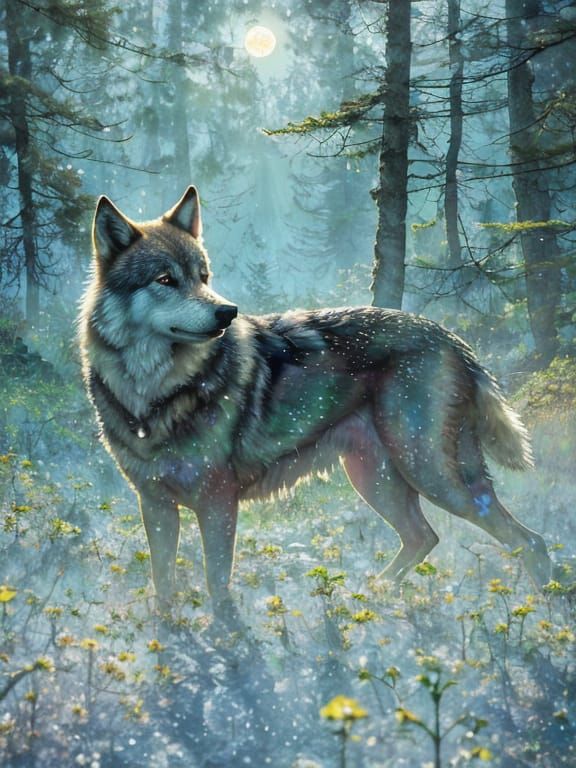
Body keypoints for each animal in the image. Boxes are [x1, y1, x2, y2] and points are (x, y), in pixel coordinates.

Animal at [79, 186, 551, 609]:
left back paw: (549, 605)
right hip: (376, 478)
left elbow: (217, 585)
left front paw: (227, 641)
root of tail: (454, 339)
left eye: (203, 277)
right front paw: (170, 637)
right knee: (425, 537)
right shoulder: (154, 505)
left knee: (529, 539)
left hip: (431, 475)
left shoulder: (217, 503)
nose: (227, 312)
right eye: (166, 280)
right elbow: (163, 584)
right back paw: (369, 596)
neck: (154, 394)